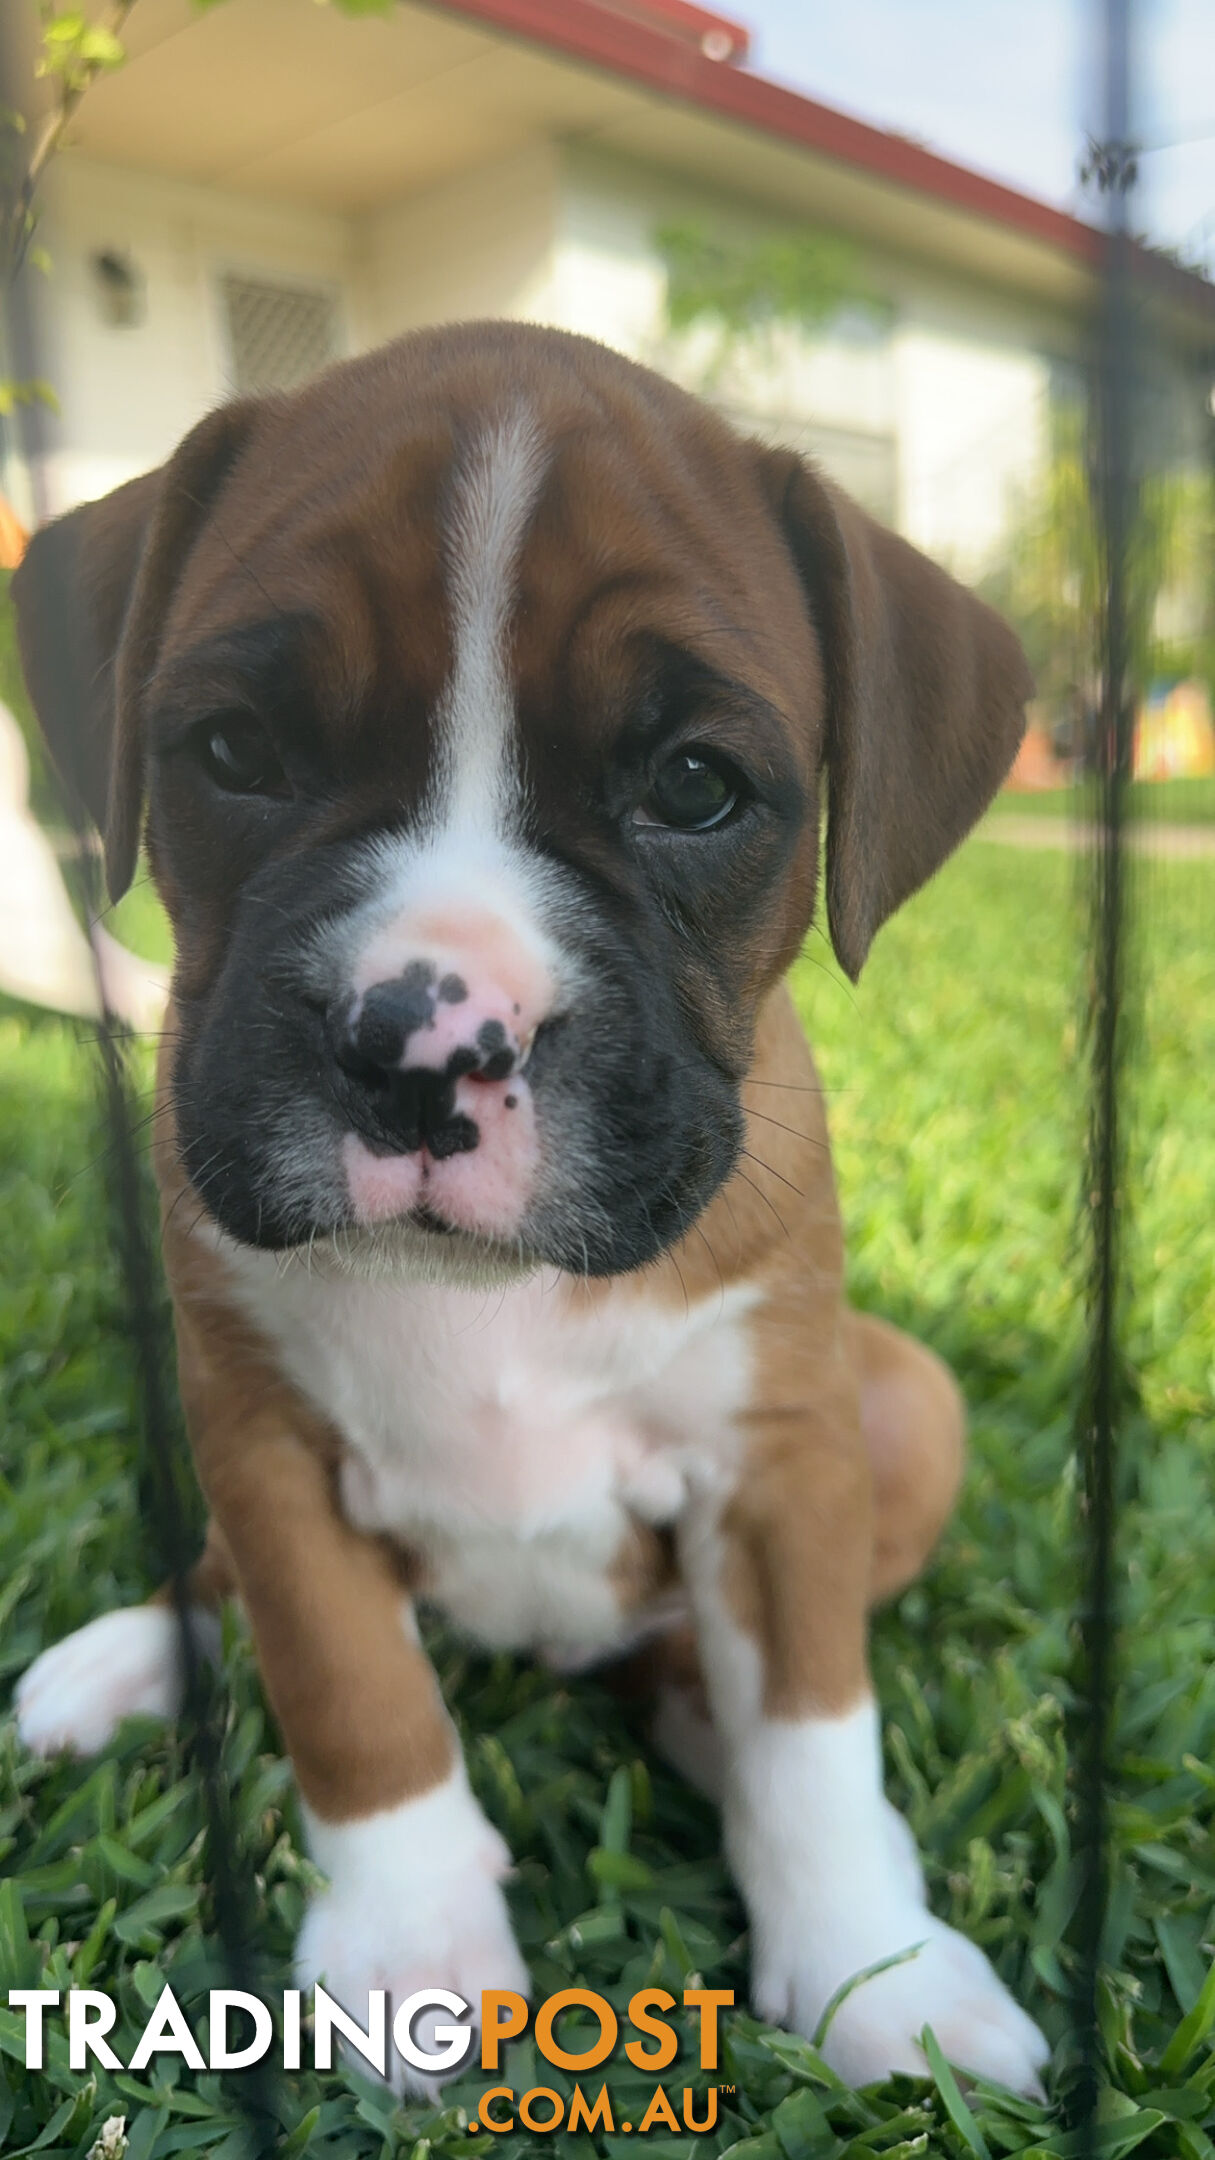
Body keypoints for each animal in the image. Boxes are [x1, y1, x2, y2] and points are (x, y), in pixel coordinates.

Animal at [11, 319, 1042, 2090]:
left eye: (694, 787)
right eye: (233, 754)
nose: (424, 1045)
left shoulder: (782, 1468)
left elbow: (814, 1737)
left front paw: (875, 1970)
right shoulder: (261, 1445)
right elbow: (352, 1697)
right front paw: (410, 1947)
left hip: (907, 1403)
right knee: (227, 1585)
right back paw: (133, 1653)